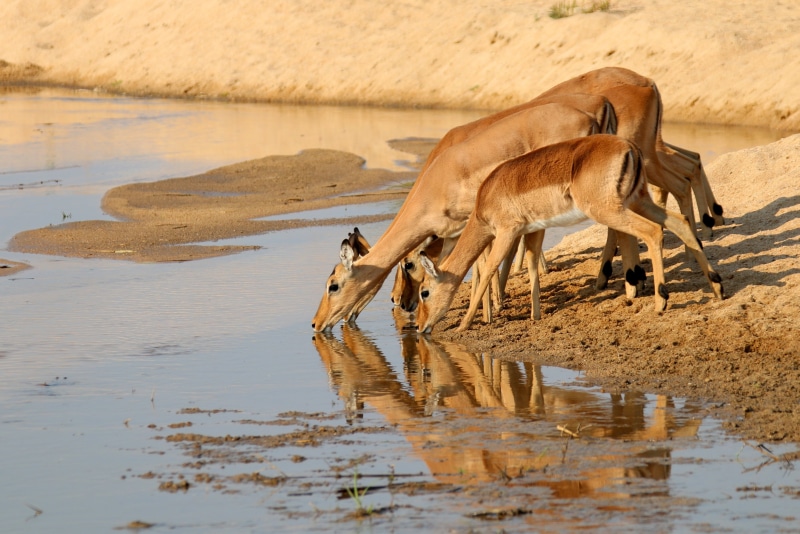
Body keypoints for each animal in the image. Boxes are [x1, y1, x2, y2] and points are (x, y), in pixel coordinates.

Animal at [311, 101, 610, 332]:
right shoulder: (454, 233)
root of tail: (589, 116)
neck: (435, 185)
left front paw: (487, 315)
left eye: (333, 285)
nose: (316, 324)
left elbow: (481, 264)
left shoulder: (475, 221)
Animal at [415, 134, 725, 334]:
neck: (485, 201)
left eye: (424, 292)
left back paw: (661, 302)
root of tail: (630, 147)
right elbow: (532, 266)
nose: (420, 327)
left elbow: (490, 268)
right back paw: (717, 289)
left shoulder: (506, 231)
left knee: (653, 231)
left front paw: (465, 324)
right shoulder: (534, 229)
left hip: (610, 210)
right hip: (637, 201)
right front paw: (535, 316)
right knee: (679, 222)